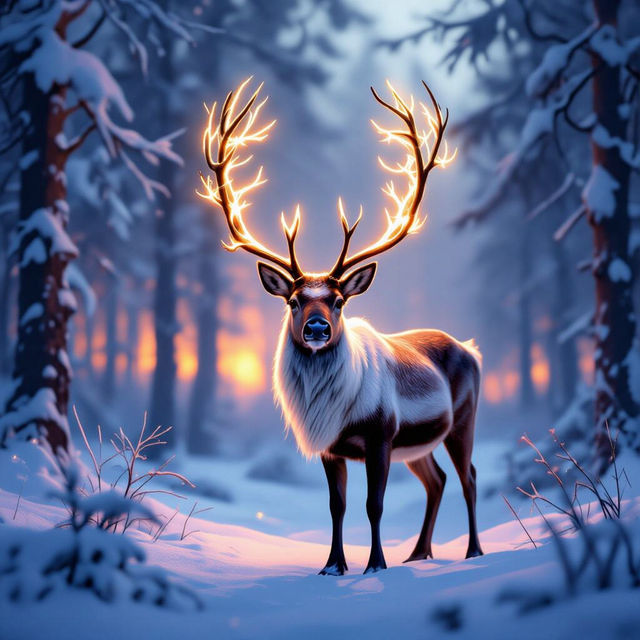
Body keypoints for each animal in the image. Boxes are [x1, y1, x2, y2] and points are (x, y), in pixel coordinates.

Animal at [198, 78, 484, 575]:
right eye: (293, 300)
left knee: (468, 476)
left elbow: (374, 504)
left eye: (337, 300)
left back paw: (472, 552)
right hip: (420, 445)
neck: (333, 410)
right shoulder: (332, 446)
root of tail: (472, 348)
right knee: (438, 480)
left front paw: (375, 565)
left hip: (463, 419)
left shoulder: (381, 432)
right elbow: (337, 506)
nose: (316, 329)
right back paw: (419, 552)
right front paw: (333, 565)